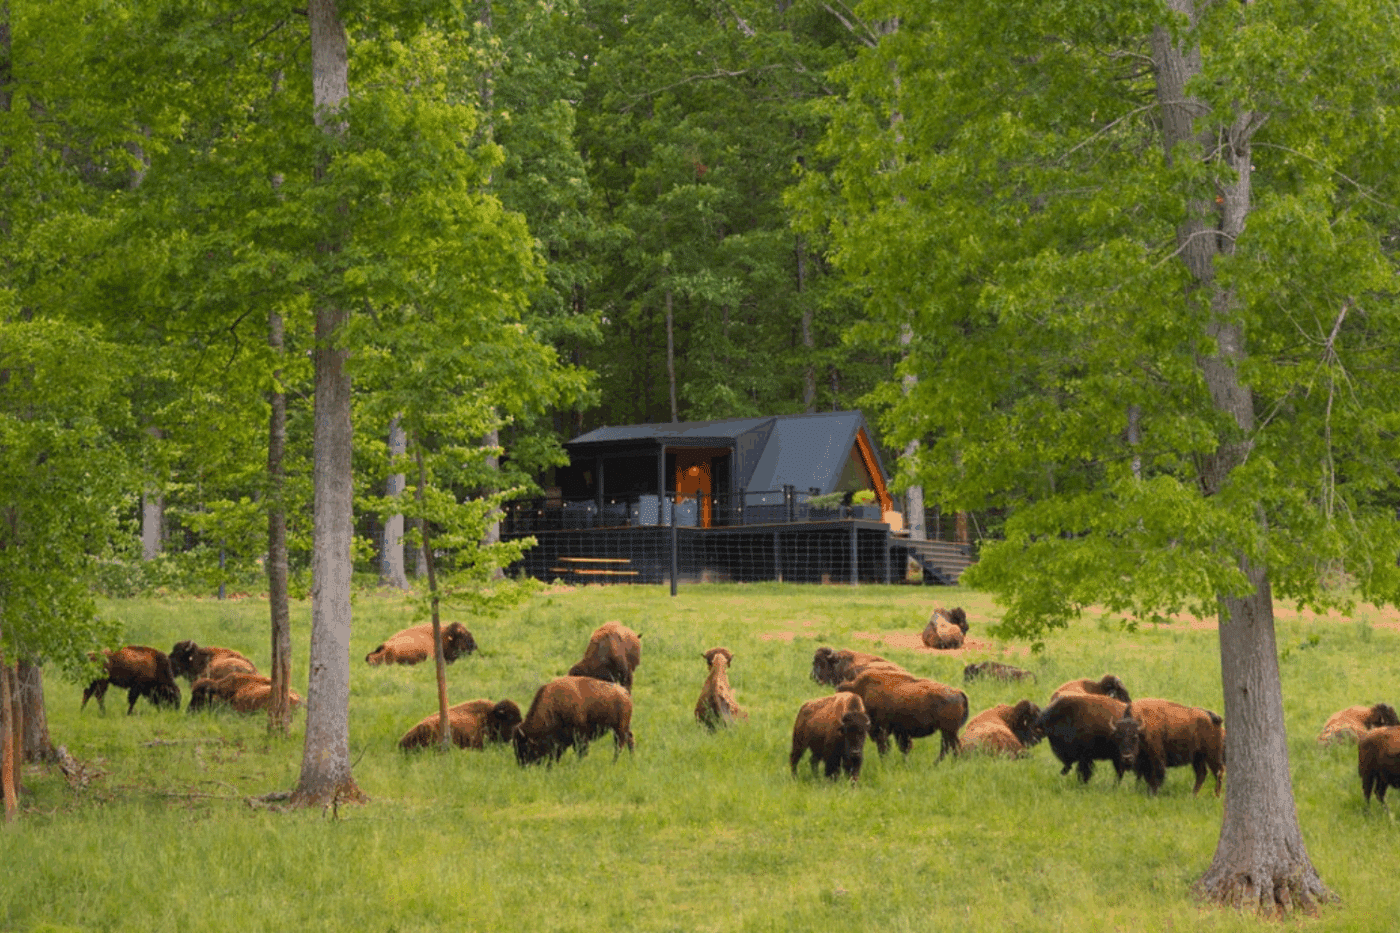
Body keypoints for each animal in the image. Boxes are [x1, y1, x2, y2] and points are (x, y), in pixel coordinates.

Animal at [837, 667, 968, 761]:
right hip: (949, 731)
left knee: (949, 747)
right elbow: (903, 748)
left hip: (948, 731)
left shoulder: (882, 730)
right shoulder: (899, 731)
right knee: (950, 747)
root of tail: (958, 692)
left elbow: (885, 748)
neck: (862, 691)